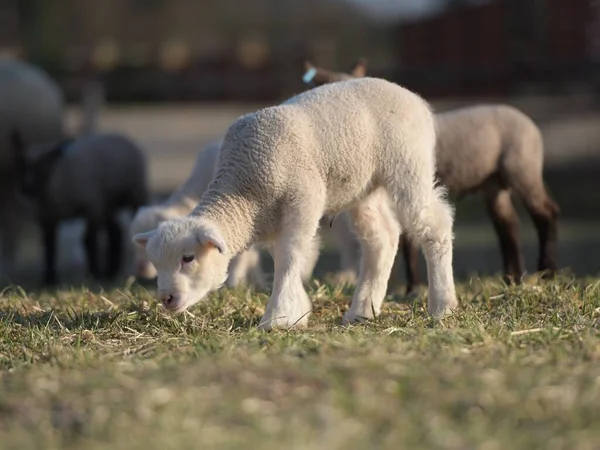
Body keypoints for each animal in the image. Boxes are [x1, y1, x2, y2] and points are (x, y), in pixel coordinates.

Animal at [10, 131, 148, 284]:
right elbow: (49, 246)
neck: (54, 184)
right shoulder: (46, 218)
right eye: (20, 166)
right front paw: (49, 279)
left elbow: (88, 240)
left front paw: (94, 274)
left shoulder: (91, 208)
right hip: (106, 205)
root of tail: (121, 135)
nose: (27, 189)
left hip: (134, 194)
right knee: (115, 231)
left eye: (42, 168)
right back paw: (111, 272)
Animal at [304, 59, 564, 292]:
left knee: (545, 212)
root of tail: (529, 121)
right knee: (508, 223)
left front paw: (412, 287)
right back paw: (513, 278)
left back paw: (547, 272)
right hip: (493, 184)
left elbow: (407, 239)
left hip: (522, 167)